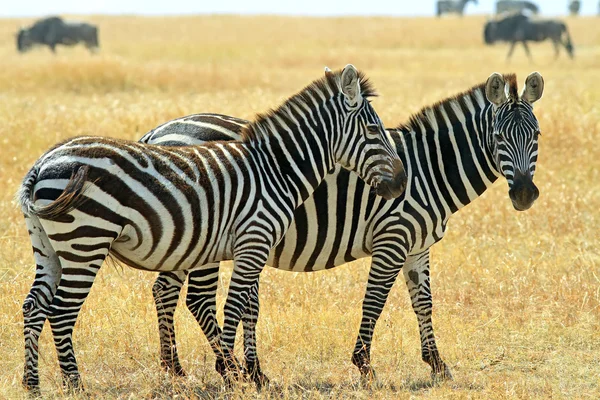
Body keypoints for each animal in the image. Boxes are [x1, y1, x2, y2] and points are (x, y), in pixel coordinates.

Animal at [16, 65, 408, 394]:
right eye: (373, 130)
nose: (401, 184)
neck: (276, 170)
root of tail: (41, 163)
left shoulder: (250, 246)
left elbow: (245, 304)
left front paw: (243, 371)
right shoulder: (253, 240)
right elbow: (234, 305)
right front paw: (232, 373)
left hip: (50, 248)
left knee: (34, 306)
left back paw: (32, 384)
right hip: (86, 241)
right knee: (62, 312)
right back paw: (75, 385)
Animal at [143, 71, 548, 384]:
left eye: (538, 136)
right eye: (499, 138)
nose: (524, 194)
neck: (428, 170)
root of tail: (158, 132)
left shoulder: (418, 246)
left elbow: (424, 303)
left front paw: (437, 365)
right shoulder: (392, 239)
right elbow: (375, 301)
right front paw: (365, 366)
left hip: (184, 238)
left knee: (165, 289)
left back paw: (176, 368)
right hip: (202, 236)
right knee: (196, 298)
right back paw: (230, 371)